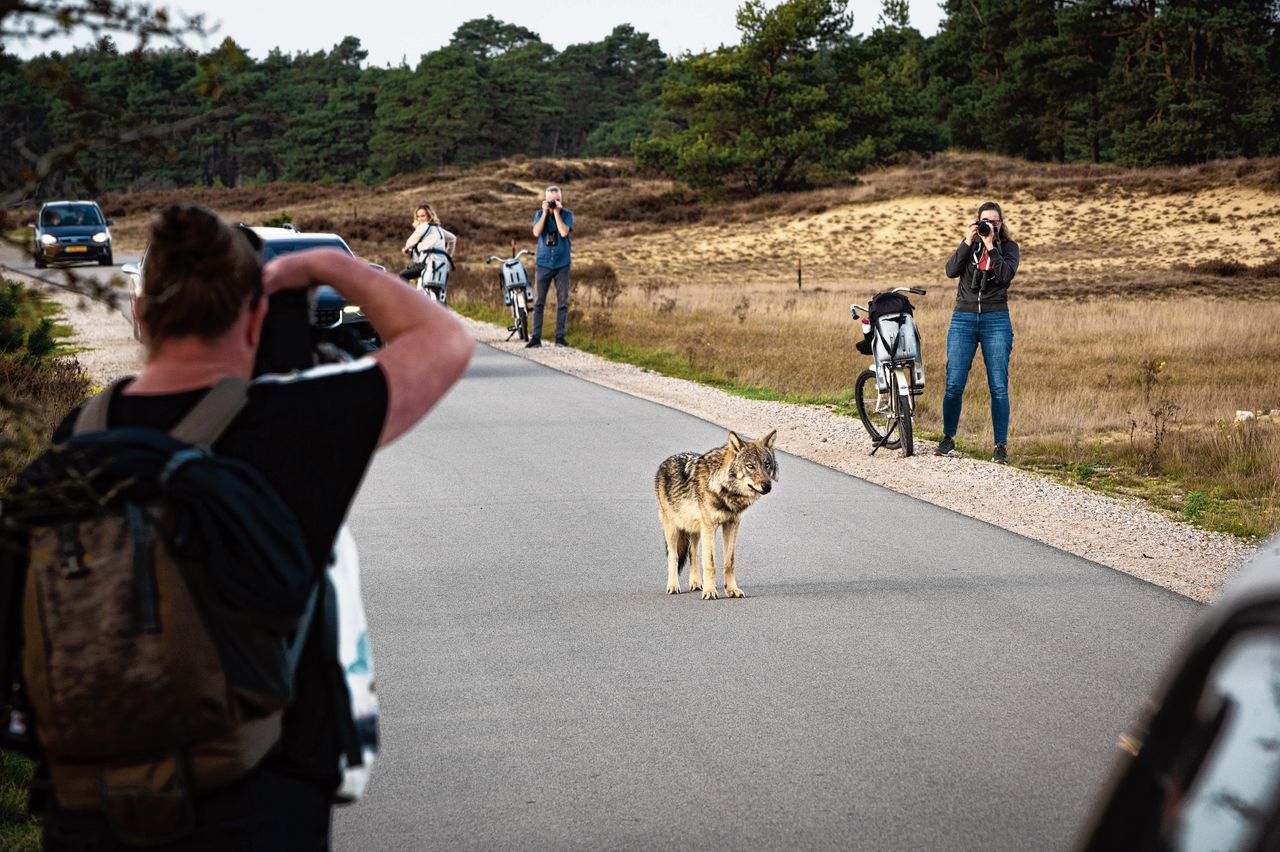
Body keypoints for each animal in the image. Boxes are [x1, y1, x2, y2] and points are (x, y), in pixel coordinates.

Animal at [655, 432, 773, 596]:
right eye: (750, 466)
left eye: (766, 464)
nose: (767, 486)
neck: (724, 490)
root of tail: (664, 462)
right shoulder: (710, 526)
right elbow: (710, 563)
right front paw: (710, 591)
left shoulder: (732, 525)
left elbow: (729, 562)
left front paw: (732, 589)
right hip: (673, 528)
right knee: (674, 556)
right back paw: (673, 586)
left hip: (696, 529)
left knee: (693, 553)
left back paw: (696, 583)